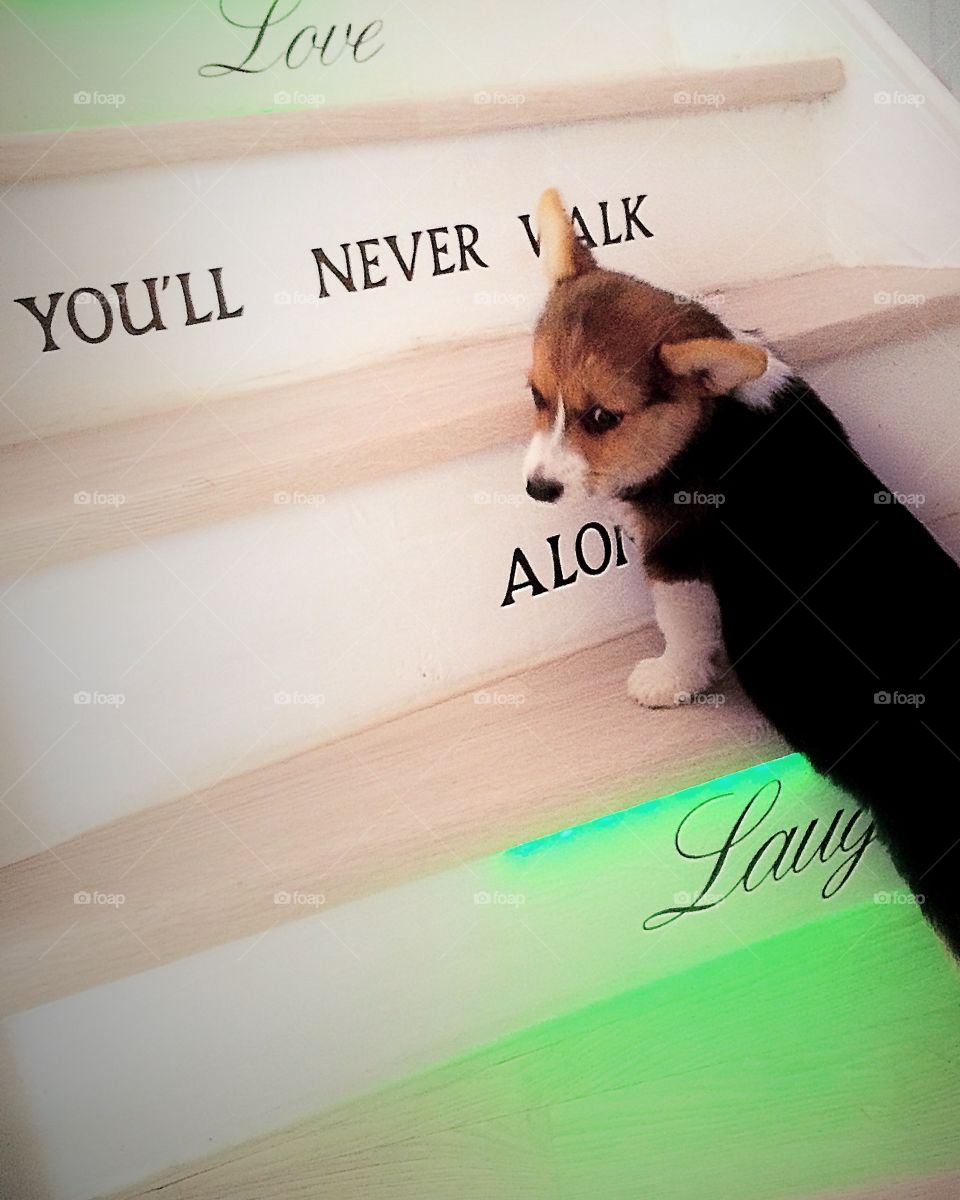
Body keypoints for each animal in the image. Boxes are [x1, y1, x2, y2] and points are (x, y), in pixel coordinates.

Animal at [525, 187, 960, 955]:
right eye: (535, 397)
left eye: (603, 418)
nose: (538, 489)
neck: (713, 415)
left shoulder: (676, 557)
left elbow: (681, 624)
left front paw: (667, 681)